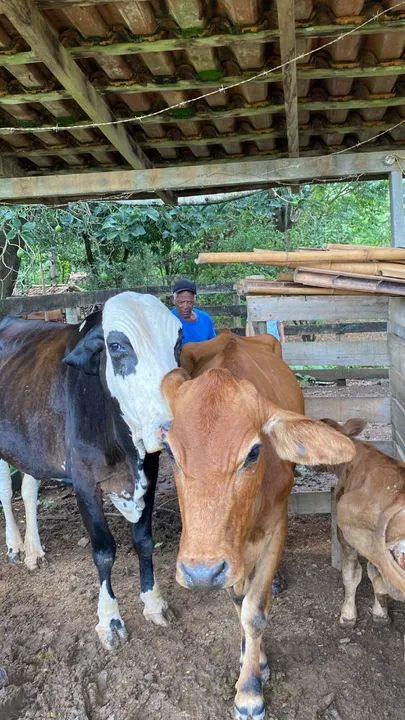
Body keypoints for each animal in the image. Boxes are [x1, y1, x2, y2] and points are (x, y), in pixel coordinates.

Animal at [0, 292, 182, 650]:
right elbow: (103, 551)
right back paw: (15, 546)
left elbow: (144, 540)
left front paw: (154, 603)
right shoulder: (84, 482)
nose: (170, 427)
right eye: (116, 346)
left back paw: (34, 551)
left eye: (178, 341)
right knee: (4, 490)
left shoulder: (149, 472)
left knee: (27, 489)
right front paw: (110, 620)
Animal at [160, 331, 355, 720]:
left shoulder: (276, 526)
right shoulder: (228, 560)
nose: (200, 573)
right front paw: (254, 661)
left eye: (253, 452)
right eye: (170, 451)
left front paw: (249, 692)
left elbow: (254, 611)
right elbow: (239, 601)